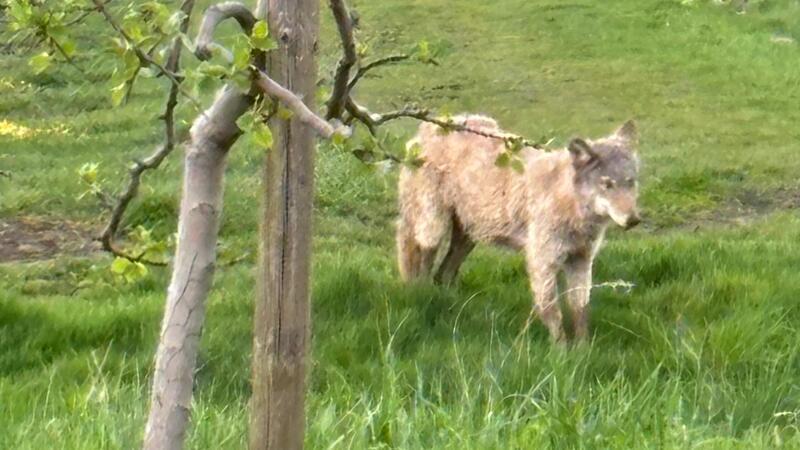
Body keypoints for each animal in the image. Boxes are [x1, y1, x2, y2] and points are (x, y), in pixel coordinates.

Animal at [396, 115, 640, 342]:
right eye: (607, 184)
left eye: (631, 182)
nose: (634, 220)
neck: (569, 203)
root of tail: (427, 127)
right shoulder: (542, 262)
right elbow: (553, 312)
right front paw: (561, 352)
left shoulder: (581, 260)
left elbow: (580, 310)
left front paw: (582, 350)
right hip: (433, 229)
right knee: (421, 265)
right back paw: (422, 296)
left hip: (468, 237)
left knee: (443, 274)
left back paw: (452, 306)